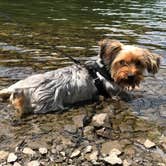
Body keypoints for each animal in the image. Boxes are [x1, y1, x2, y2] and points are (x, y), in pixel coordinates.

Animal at [0, 39, 161, 117]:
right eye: (122, 62)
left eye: (139, 63)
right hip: (47, 104)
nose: (131, 75)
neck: (104, 70)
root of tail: (19, 89)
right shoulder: (117, 93)